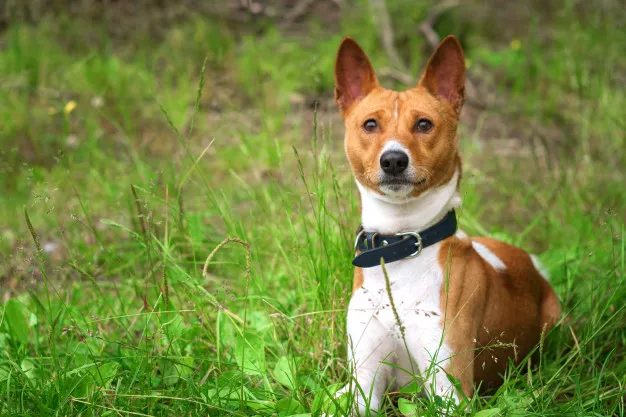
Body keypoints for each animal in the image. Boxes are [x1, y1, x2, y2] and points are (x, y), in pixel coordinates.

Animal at [332, 35, 560, 412]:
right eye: (370, 125)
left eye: (424, 124)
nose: (393, 160)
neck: (400, 244)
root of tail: (531, 266)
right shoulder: (364, 382)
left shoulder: (450, 389)